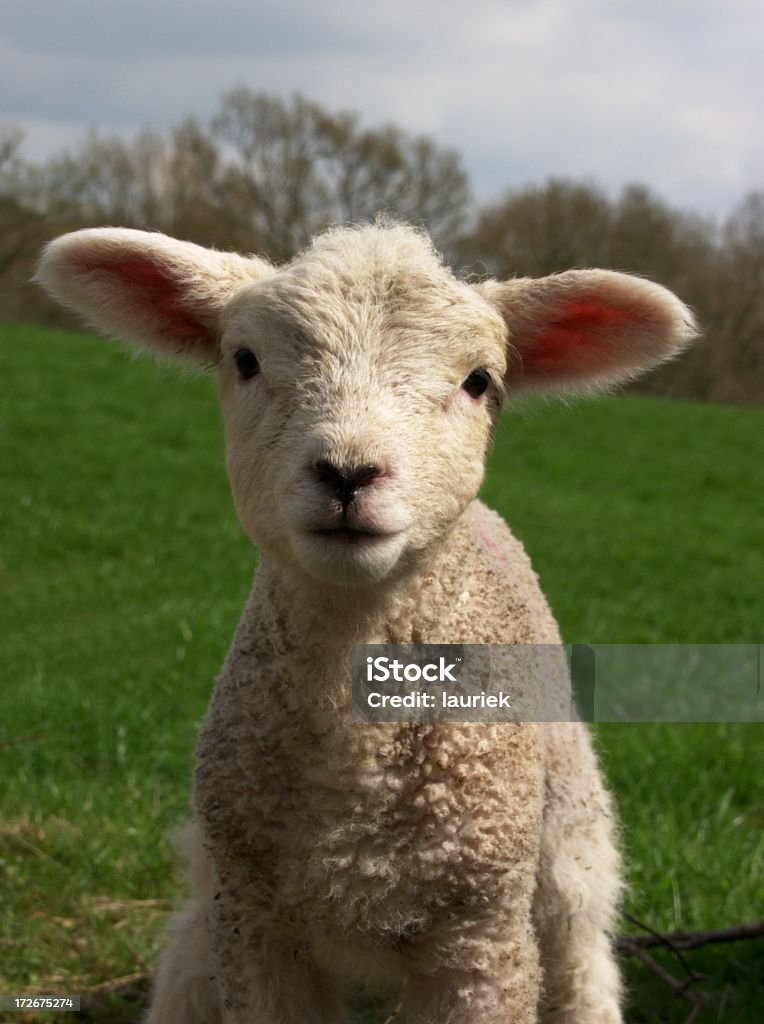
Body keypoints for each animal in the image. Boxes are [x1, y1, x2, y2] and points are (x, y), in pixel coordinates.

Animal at [35, 224, 692, 1024]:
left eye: (479, 381)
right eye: (245, 360)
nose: (348, 472)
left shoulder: (479, 935)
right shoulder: (254, 923)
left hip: (568, 838)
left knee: (581, 958)